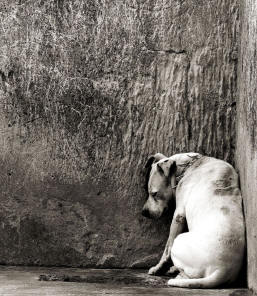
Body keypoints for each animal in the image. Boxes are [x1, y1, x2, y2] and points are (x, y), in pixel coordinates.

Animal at [142, 154, 244, 288]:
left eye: (154, 194)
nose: (143, 212)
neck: (191, 165)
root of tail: (222, 270)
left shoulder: (178, 214)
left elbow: (167, 248)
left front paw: (158, 268)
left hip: (179, 241)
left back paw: (177, 275)